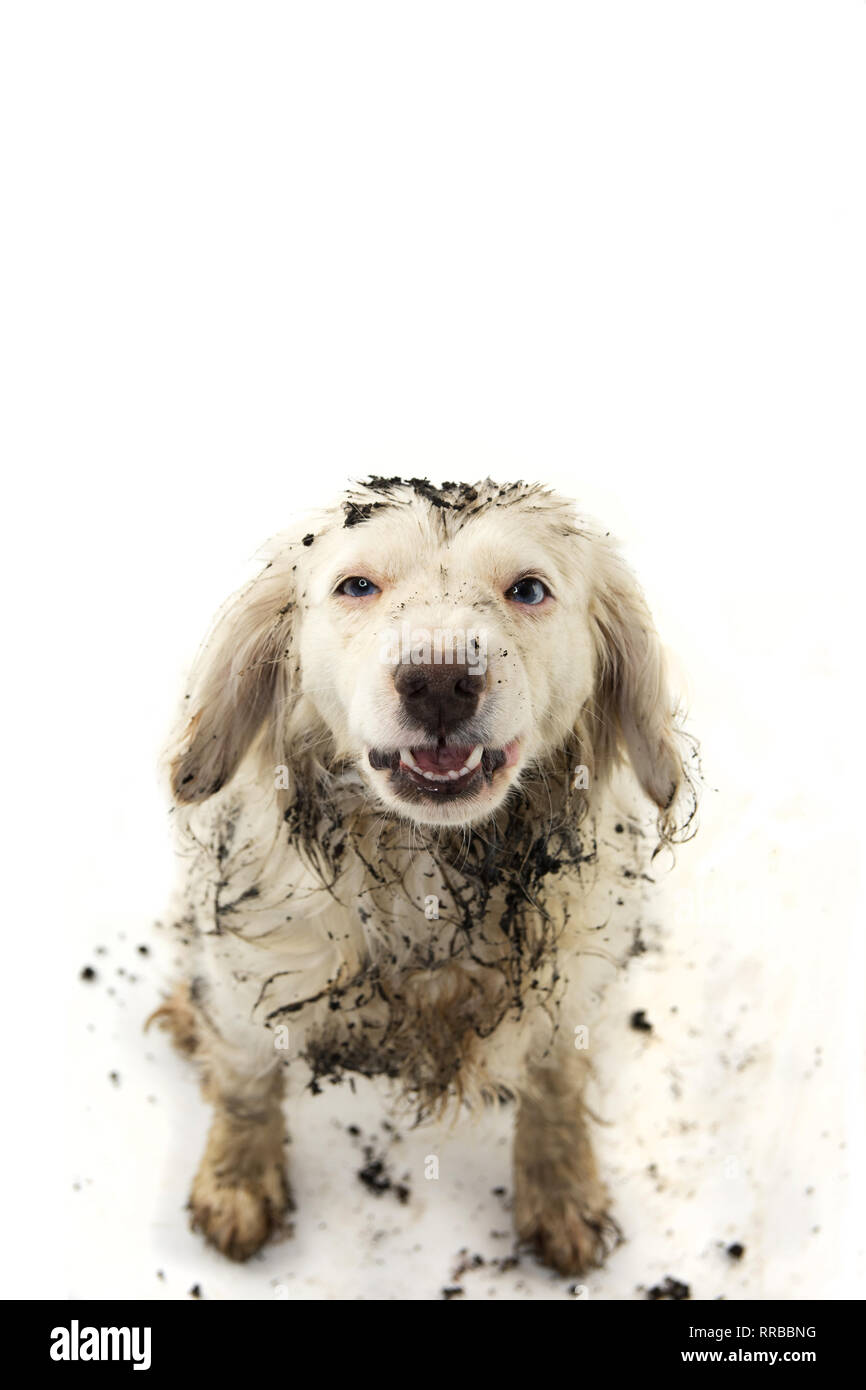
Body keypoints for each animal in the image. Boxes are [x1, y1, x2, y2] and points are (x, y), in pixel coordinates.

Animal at [152, 475, 697, 1273]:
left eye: (528, 589)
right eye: (356, 586)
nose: (439, 680)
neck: (430, 877)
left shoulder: (570, 985)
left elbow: (556, 1092)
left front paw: (561, 1196)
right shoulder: (250, 974)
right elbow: (248, 1084)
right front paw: (237, 1187)